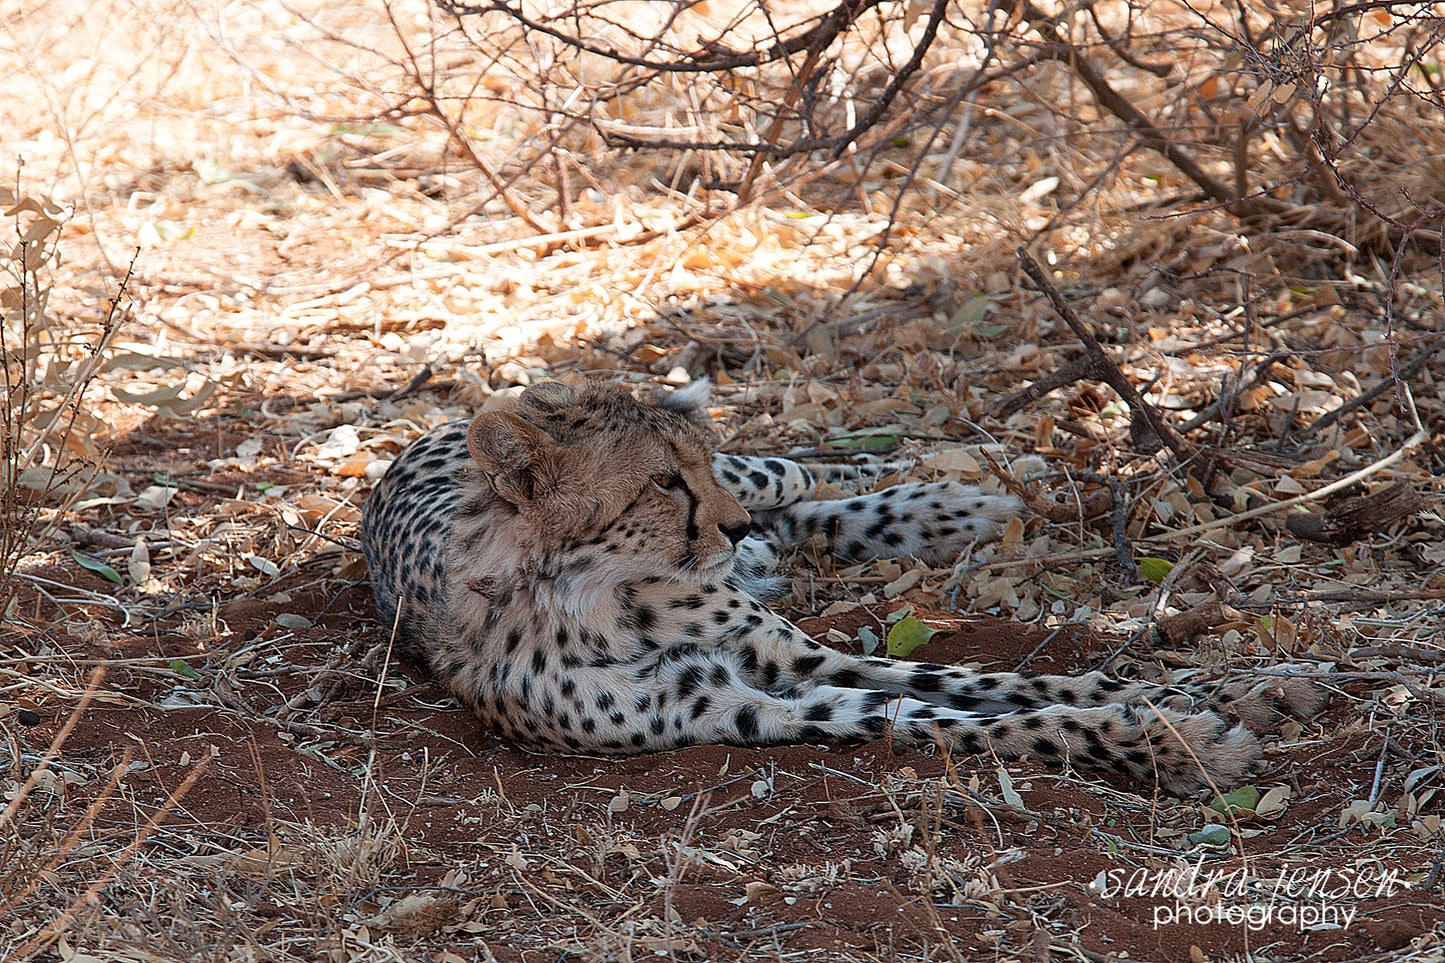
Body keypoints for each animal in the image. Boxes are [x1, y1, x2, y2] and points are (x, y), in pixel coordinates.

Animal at [355, 378, 1323, 792]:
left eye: (694, 464)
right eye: (662, 481)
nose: (726, 525)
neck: (611, 597)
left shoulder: (784, 651)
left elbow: (987, 680)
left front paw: (1187, 701)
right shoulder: (744, 706)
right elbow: (955, 718)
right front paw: (1168, 739)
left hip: (764, 475)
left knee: (805, 468)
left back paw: (976, 478)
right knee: (803, 515)